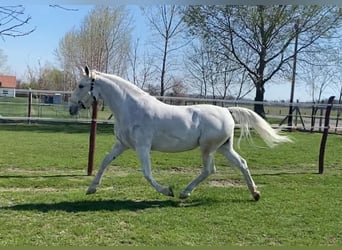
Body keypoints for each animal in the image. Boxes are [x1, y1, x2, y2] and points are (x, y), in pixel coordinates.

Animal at [69, 66, 292, 201]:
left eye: (81, 85)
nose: (71, 108)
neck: (131, 108)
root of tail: (227, 111)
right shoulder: (122, 144)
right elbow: (105, 161)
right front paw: (91, 188)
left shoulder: (142, 147)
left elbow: (147, 173)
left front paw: (167, 191)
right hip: (223, 147)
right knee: (242, 164)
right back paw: (255, 193)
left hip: (208, 148)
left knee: (210, 170)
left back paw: (184, 193)